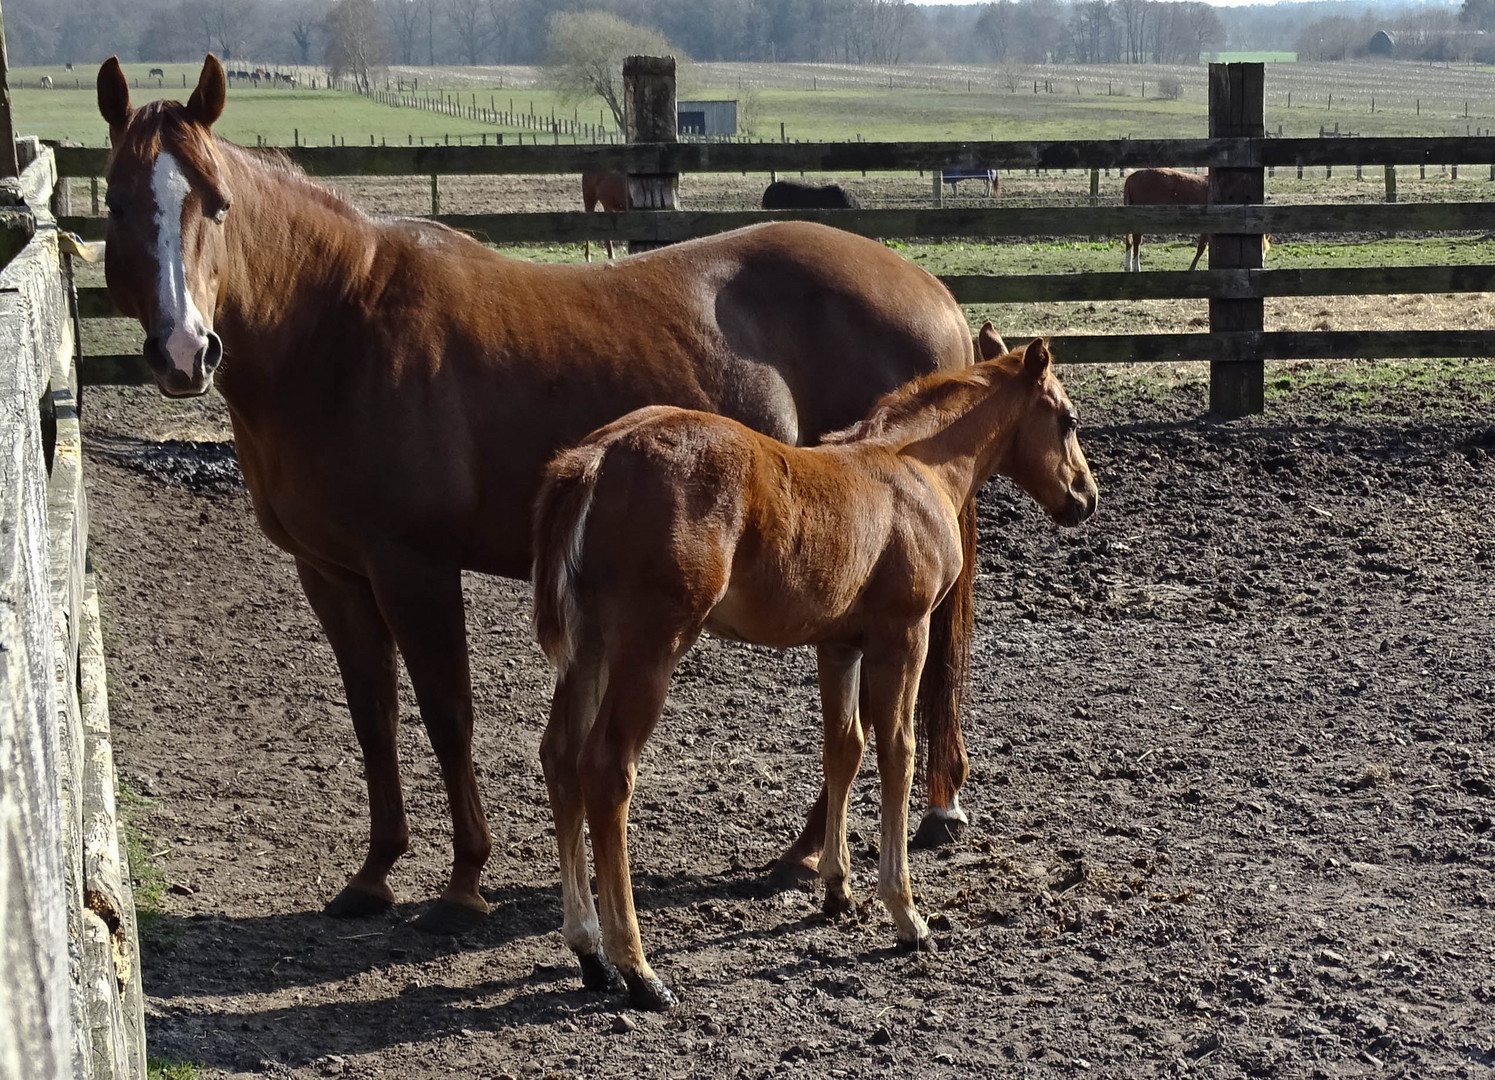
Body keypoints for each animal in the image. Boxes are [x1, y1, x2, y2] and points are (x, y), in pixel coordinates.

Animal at [93, 59, 980, 933]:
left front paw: (463, 881)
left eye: (216, 203)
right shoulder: (331, 572)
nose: (185, 351)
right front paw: (374, 873)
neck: (339, 328)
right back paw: (811, 854)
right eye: (117, 203)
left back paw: (814, 856)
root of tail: (932, 292)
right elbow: (371, 714)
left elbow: (447, 712)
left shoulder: (414, 567)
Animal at [532, 330, 1094, 1011]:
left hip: (587, 647)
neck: (917, 469)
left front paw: (836, 889)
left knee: (560, 757)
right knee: (605, 770)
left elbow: (843, 749)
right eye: (1067, 419)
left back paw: (590, 952)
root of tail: (595, 457)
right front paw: (906, 915)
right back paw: (638, 969)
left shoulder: (838, 645)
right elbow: (898, 752)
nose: (1086, 498)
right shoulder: (903, 636)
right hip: (649, 648)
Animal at [1124, 167, 1273, 273]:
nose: (1261, 264)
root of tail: (1132, 177)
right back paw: (1136, 268)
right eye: (1263, 248)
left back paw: (1128, 266)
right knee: (1136, 241)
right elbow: (1201, 248)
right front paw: (1192, 268)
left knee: (1129, 241)